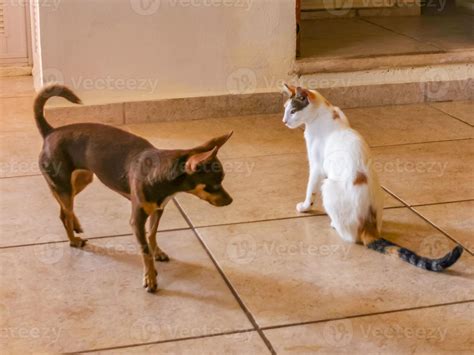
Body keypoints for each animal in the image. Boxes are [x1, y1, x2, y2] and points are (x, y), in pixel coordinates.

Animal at [33, 85, 233, 292]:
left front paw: (157, 252)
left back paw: (76, 225)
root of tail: (50, 132)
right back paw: (73, 240)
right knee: (65, 213)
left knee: (64, 209)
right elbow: (144, 250)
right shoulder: (136, 221)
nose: (231, 201)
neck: (160, 174)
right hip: (63, 185)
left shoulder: (158, 210)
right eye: (214, 185)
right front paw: (150, 277)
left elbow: (152, 234)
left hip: (81, 180)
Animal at [284, 84, 462, 272]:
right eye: (285, 109)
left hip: (328, 186)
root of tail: (369, 228)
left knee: (350, 237)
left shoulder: (316, 166)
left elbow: (310, 190)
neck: (327, 113)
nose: (284, 121)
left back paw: (334, 225)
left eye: (293, 111)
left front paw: (305, 207)